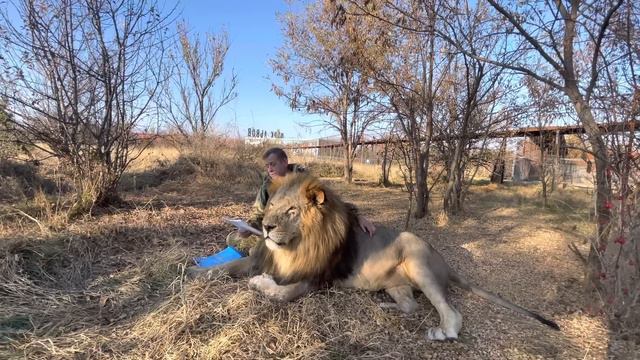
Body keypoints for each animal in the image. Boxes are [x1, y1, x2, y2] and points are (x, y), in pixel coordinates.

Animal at [190, 172, 560, 340]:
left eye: (291, 211)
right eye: (271, 207)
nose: (265, 227)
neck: (296, 245)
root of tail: (446, 263)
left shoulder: (316, 279)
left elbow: (280, 293)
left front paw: (259, 283)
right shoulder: (262, 257)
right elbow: (228, 265)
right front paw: (195, 274)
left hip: (418, 259)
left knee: (450, 311)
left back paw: (443, 332)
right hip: (398, 283)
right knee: (411, 305)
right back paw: (385, 306)